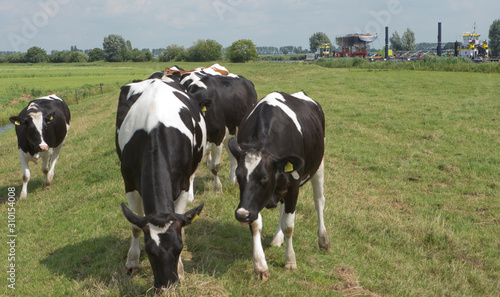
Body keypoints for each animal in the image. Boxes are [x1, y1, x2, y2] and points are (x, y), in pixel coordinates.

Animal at [116, 78, 208, 292]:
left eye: (179, 248)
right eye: (150, 251)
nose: (166, 286)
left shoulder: (182, 184)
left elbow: (181, 223)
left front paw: (181, 270)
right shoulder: (129, 183)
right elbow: (135, 226)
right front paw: (132, 262)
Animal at [228, 90, 330, 280]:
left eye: (264, 178)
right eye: (238, 176)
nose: (241, 215)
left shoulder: (293, 187)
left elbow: (289, 226)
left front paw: (290, 261)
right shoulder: (253, 202)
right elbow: (256, 225)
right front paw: (260, 266)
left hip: (319, 164)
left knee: (319, 201)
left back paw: (323, 239)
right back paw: (277, 238)